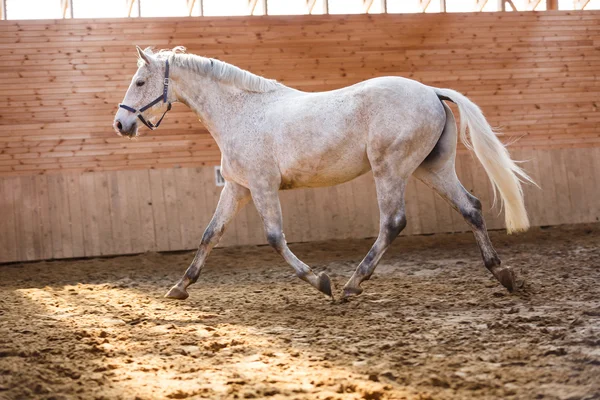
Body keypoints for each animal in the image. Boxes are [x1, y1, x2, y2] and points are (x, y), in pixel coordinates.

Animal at [115, 47, 532, 300]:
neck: (241, 113)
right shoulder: (237, 187)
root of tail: (431, 91)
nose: (120, 124)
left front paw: (321, 282)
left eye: (139, 82)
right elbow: (209, 234)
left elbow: (274, 237)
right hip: (431, 169)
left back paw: (351, 285)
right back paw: (502, 273)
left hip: (391, 169)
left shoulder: (263, 187)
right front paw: (179, 287)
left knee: (393, 222)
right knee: (471, 207)